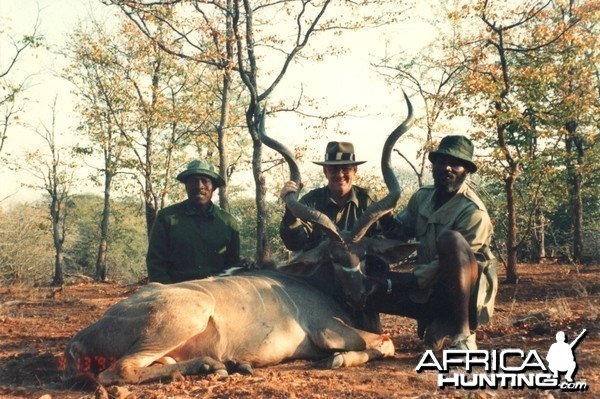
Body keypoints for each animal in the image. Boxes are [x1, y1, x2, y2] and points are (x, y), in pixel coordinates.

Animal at [63, 93, 414, 388]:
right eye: (333, 258)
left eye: (364, 256)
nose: (359, 295)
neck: (314, 283)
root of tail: (80, 338)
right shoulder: (329, 331)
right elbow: (384, 342)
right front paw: (339, 360)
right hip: (186, 317)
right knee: (119, 370)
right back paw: (217, 365)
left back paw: (220, 365)